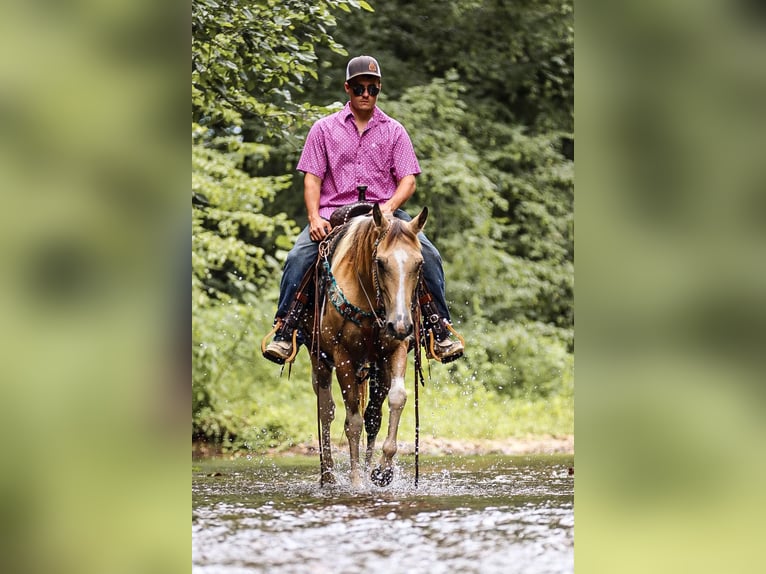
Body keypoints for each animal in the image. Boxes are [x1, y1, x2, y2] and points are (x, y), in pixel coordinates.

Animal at [308, 205, 426, 488]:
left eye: (419, 263)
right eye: (380, 263)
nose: (401, 324)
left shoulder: (396, 348)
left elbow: (396, 399)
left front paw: (382, 471)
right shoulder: (342, 356)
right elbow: (352, 421)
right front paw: (355, 481)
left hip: (377, 368)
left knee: (373, 414)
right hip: (320, 361)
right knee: (326, 410)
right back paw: (328, 475)